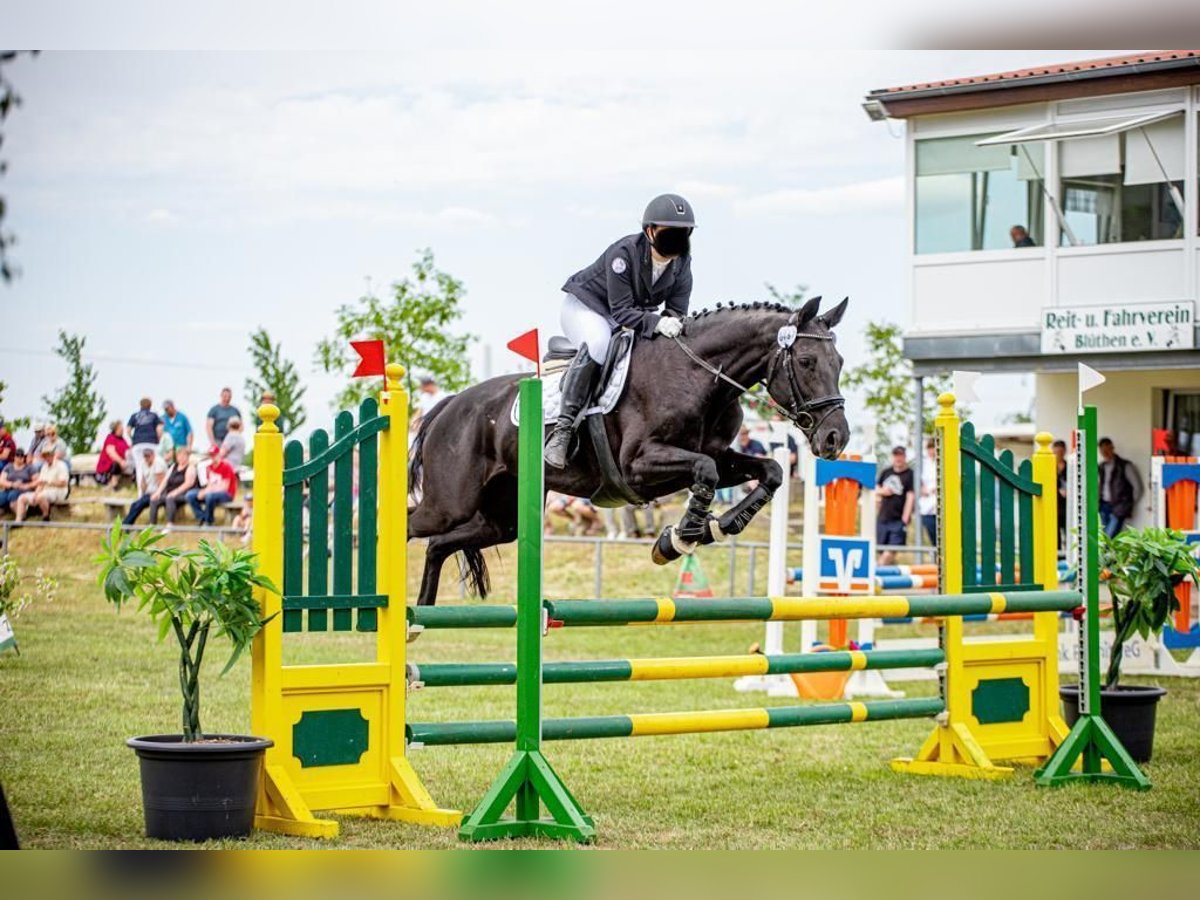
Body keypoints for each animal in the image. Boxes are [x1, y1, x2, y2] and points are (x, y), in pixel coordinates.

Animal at [408, 296, 849, 607]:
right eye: (806, 361)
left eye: (840, 361)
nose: (836, 439)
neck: (698, 376)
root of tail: (449, 404)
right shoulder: (639, 465)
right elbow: (704, 471)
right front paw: (679, 539)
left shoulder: (721, 456)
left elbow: (770, 470)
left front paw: (717, 526)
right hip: (449, 503)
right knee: (411, 524)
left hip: (502, 518)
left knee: (438, 544)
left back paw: (420, 620)